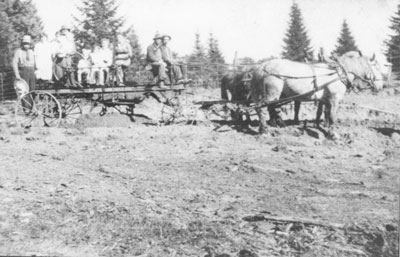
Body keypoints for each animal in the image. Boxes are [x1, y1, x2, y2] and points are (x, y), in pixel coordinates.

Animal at [248, 51, 382, 137]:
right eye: (376, 67)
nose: (380, 86)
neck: (339, 73)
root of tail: (262, 66)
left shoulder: (325, 100)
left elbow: (323, 113)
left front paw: (322, 127)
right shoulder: (334, 99)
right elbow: (332, 116)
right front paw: (333, 134)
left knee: (268, 108)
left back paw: (274, 125)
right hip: (272, 94)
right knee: (261, 108)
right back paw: (264, 129)